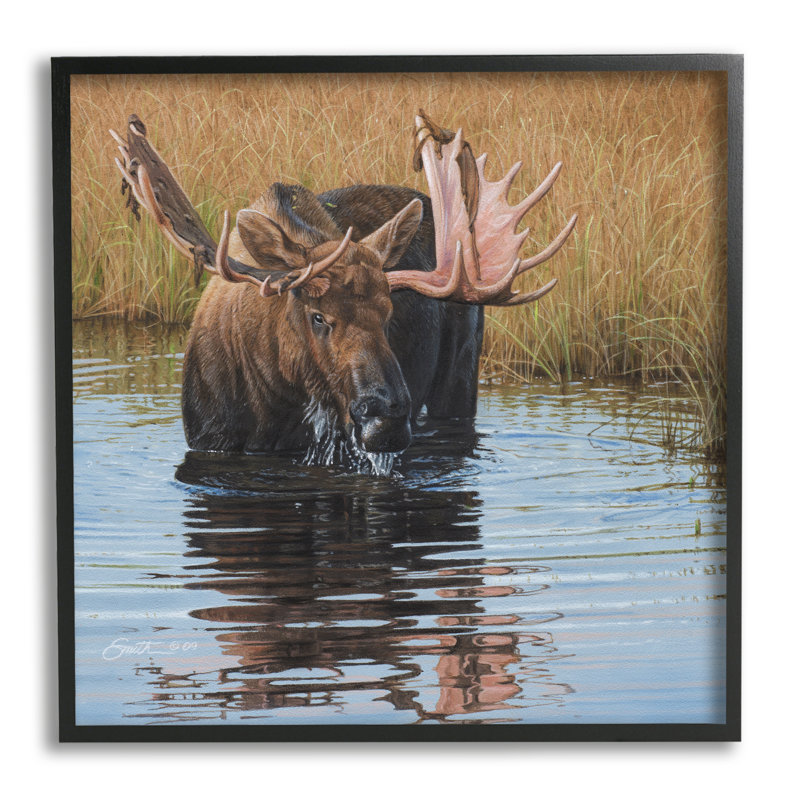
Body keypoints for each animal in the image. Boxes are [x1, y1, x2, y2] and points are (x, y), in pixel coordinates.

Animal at [110, 111, 576, 472]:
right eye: (318, 316)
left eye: (390, 315)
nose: (386, 419)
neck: (272, 398)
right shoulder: (210, 441)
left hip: (461, 377)